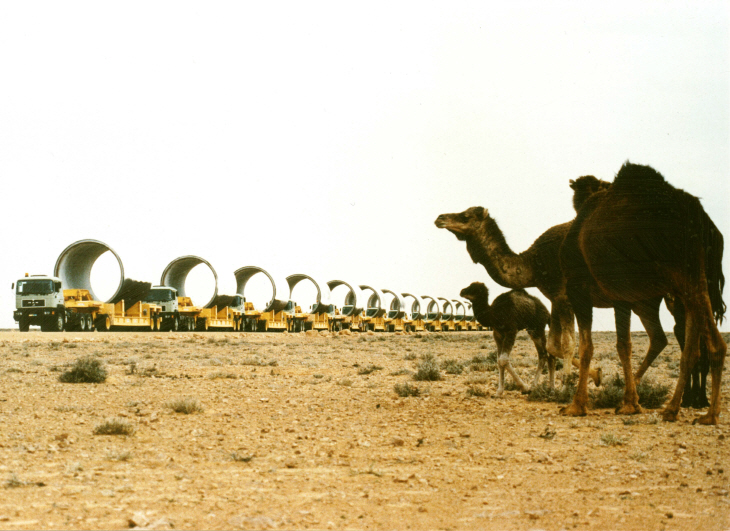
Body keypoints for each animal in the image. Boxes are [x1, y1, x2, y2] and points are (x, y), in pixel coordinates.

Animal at [556, 162, 724, 424]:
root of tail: (699, 217)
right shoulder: (625, 297)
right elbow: (623, 345)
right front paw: (630, 402)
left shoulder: (580, 289)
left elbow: (589, 347)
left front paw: (577, 406)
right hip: (690, 279)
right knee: (692, 346)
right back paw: (676, 409)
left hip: (681, 272)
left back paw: (707, 414)